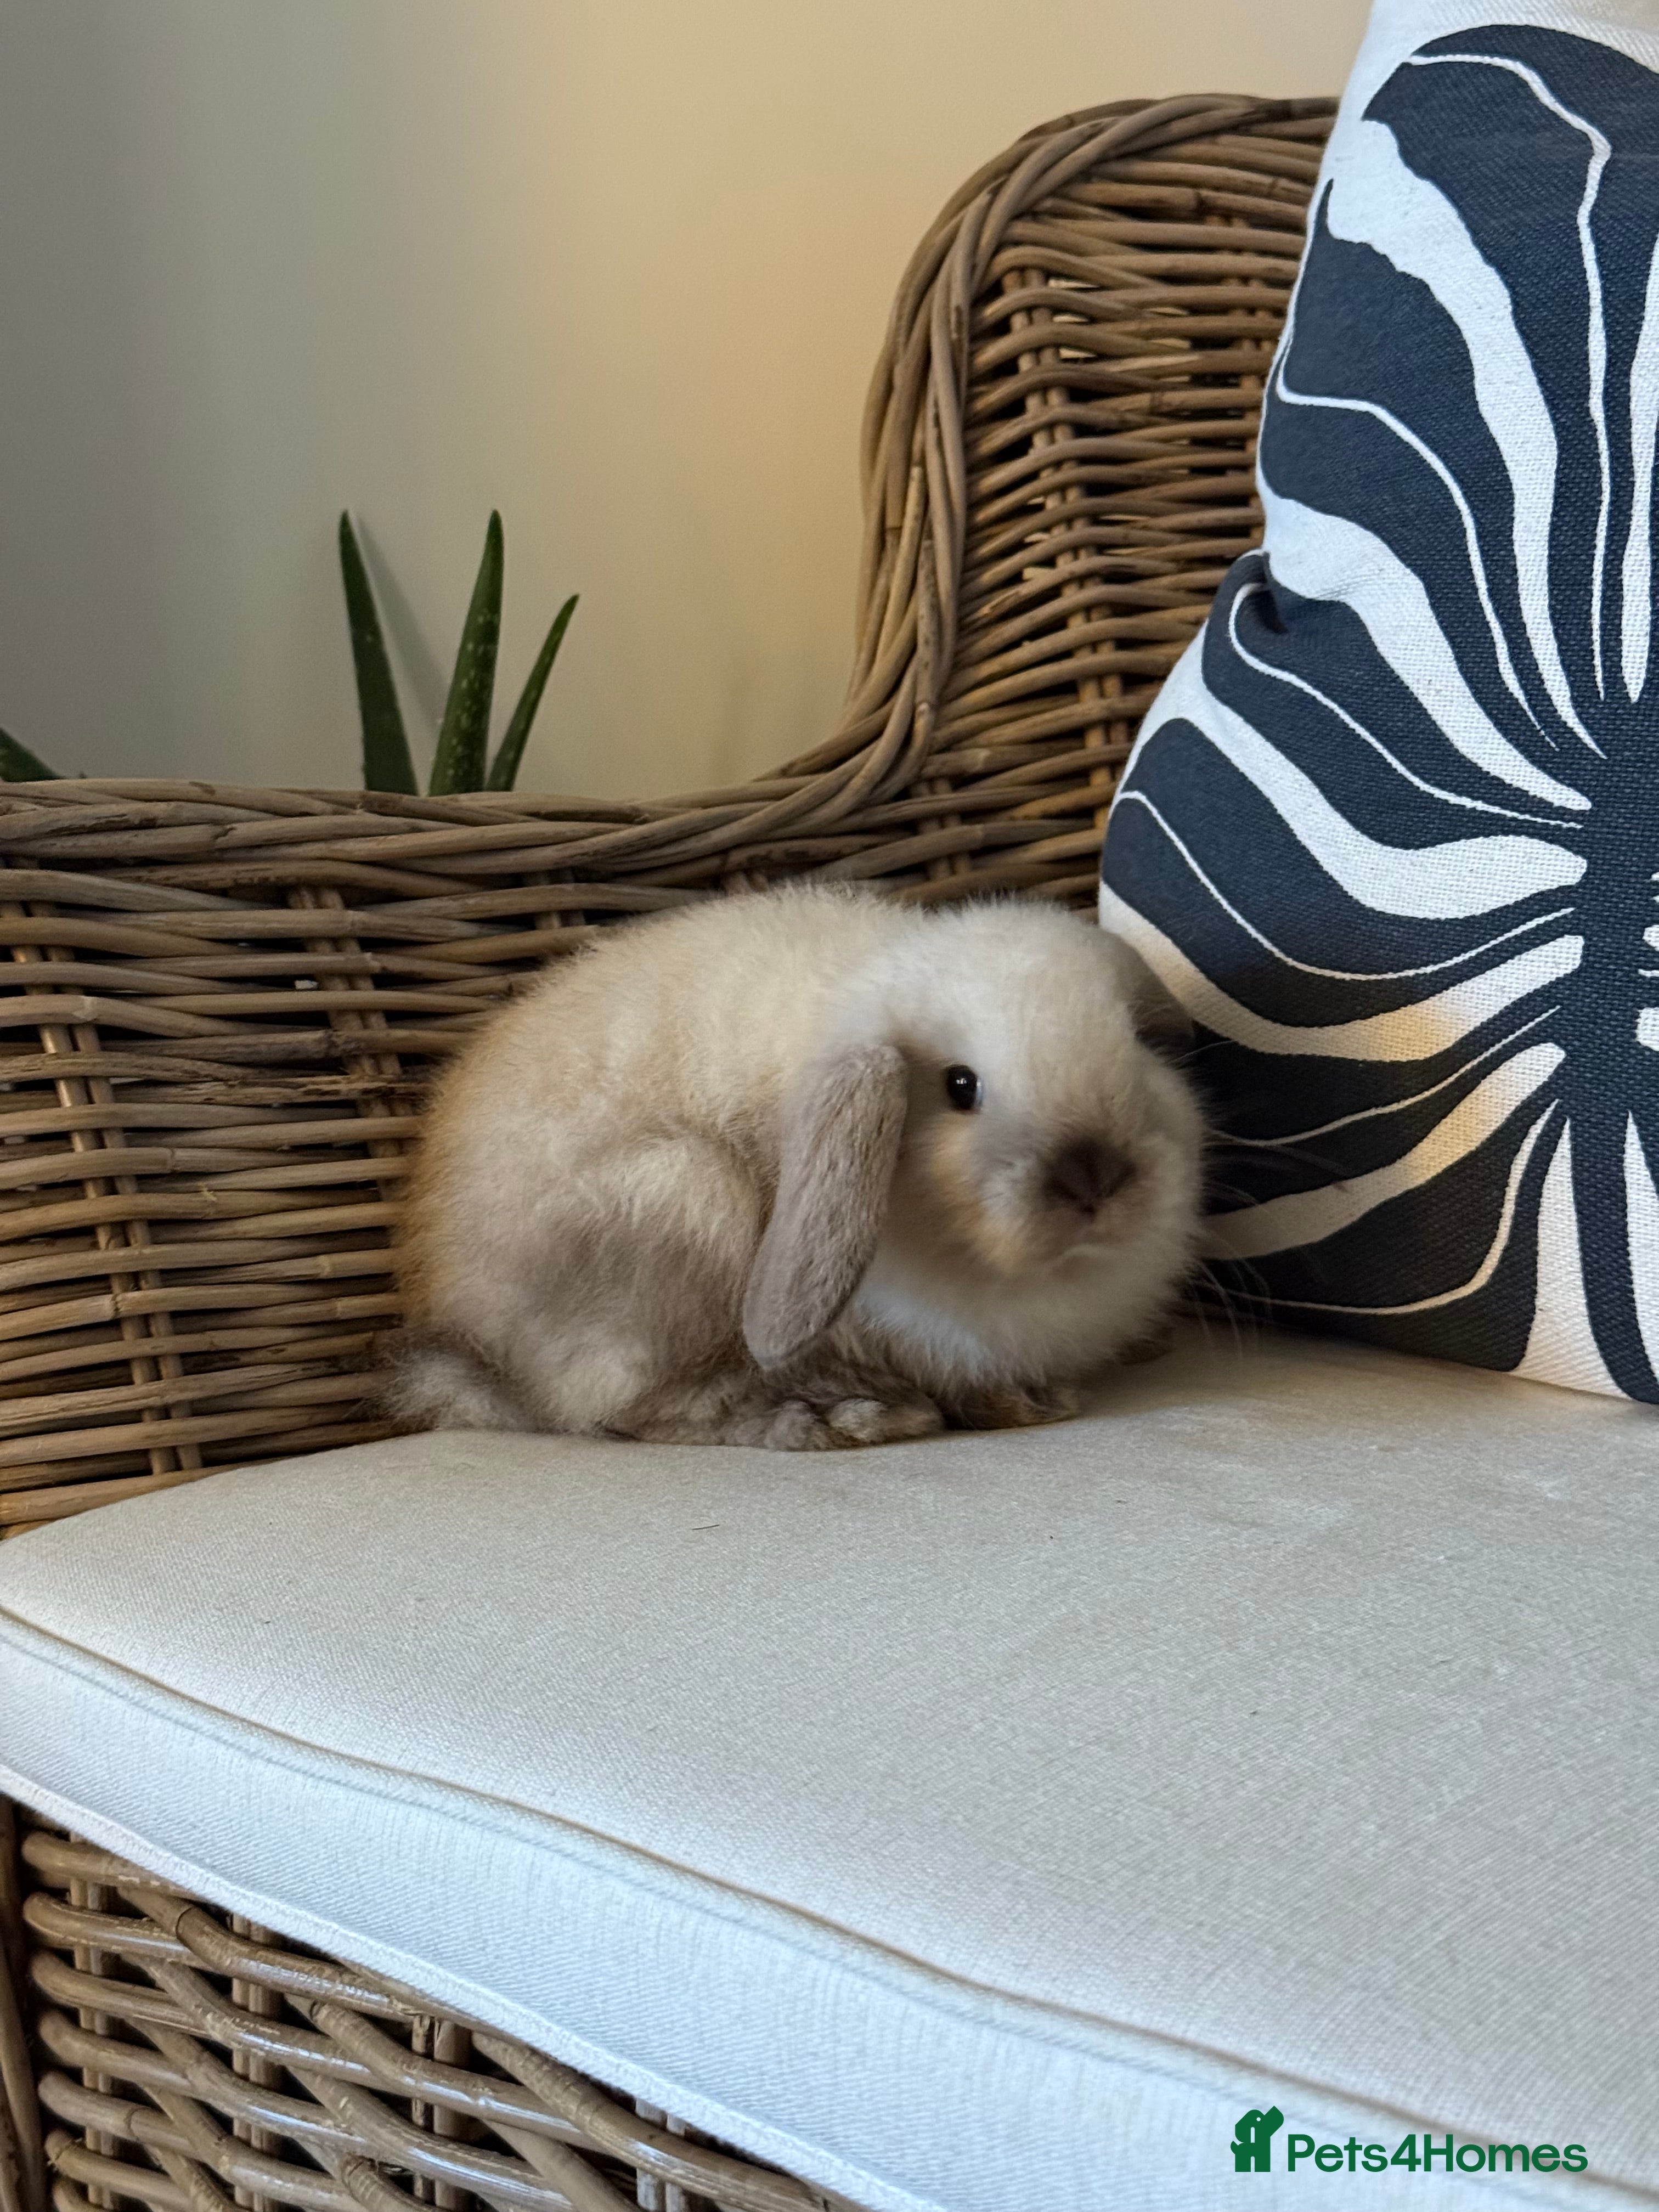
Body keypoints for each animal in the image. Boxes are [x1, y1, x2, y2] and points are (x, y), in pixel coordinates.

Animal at [389, 883, 1204, 1449]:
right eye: (960, 1086)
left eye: (1136, 1045)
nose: (1095, 1177)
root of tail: (476, 1353)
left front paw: (1031, 1401)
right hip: (691, 1197)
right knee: (625, 1410)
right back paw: (838, 1419)